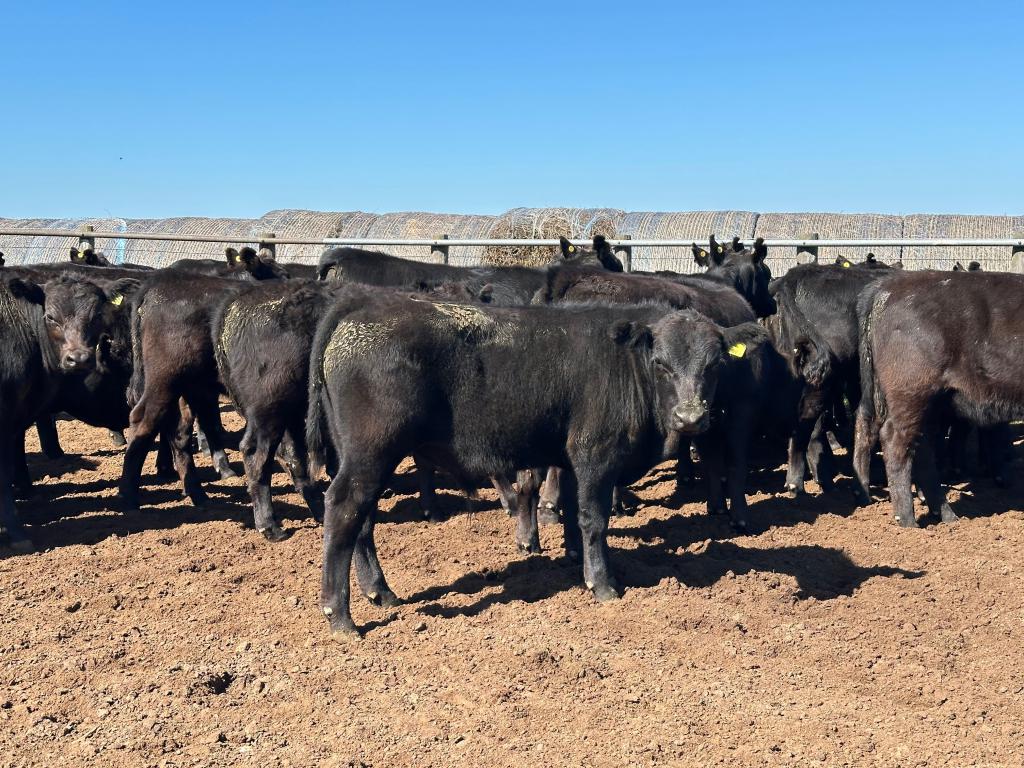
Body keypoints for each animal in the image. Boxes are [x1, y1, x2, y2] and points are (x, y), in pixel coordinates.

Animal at [307, 297, 726, 636]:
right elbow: (593, 519)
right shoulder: (595, 454)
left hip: (365, 459)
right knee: (343, 509)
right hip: (370, 455)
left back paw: (379, 591)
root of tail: (362, 309)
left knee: (362, 519)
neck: (625, 362)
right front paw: (602, 584)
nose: (690, 417)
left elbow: (570, 509)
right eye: (661, 364)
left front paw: (574, 558)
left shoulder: (567, 459)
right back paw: (340, 616)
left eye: (714, 364)